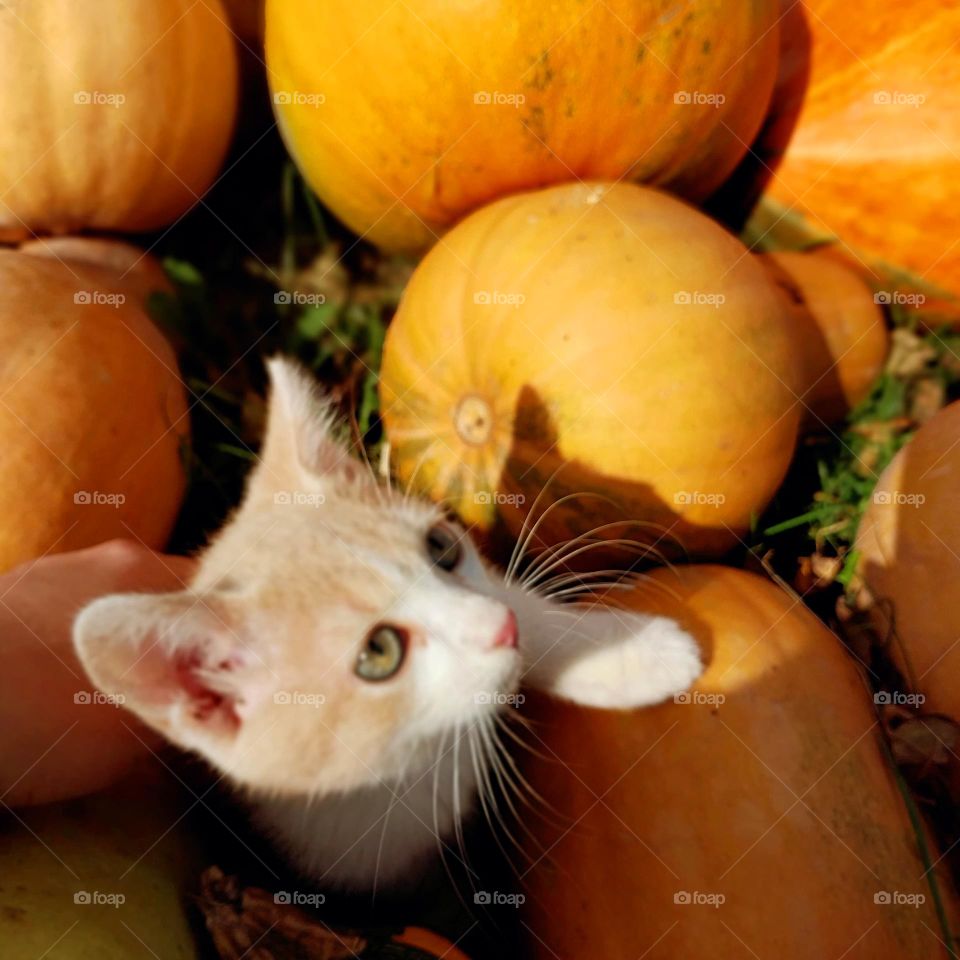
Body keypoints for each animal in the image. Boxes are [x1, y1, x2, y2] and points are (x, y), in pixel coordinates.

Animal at [73, 360, 696, 892]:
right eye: (379, 653)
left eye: (442, 547)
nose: (501, 628)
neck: (416, 761)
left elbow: (522, 607)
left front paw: (635, 654)